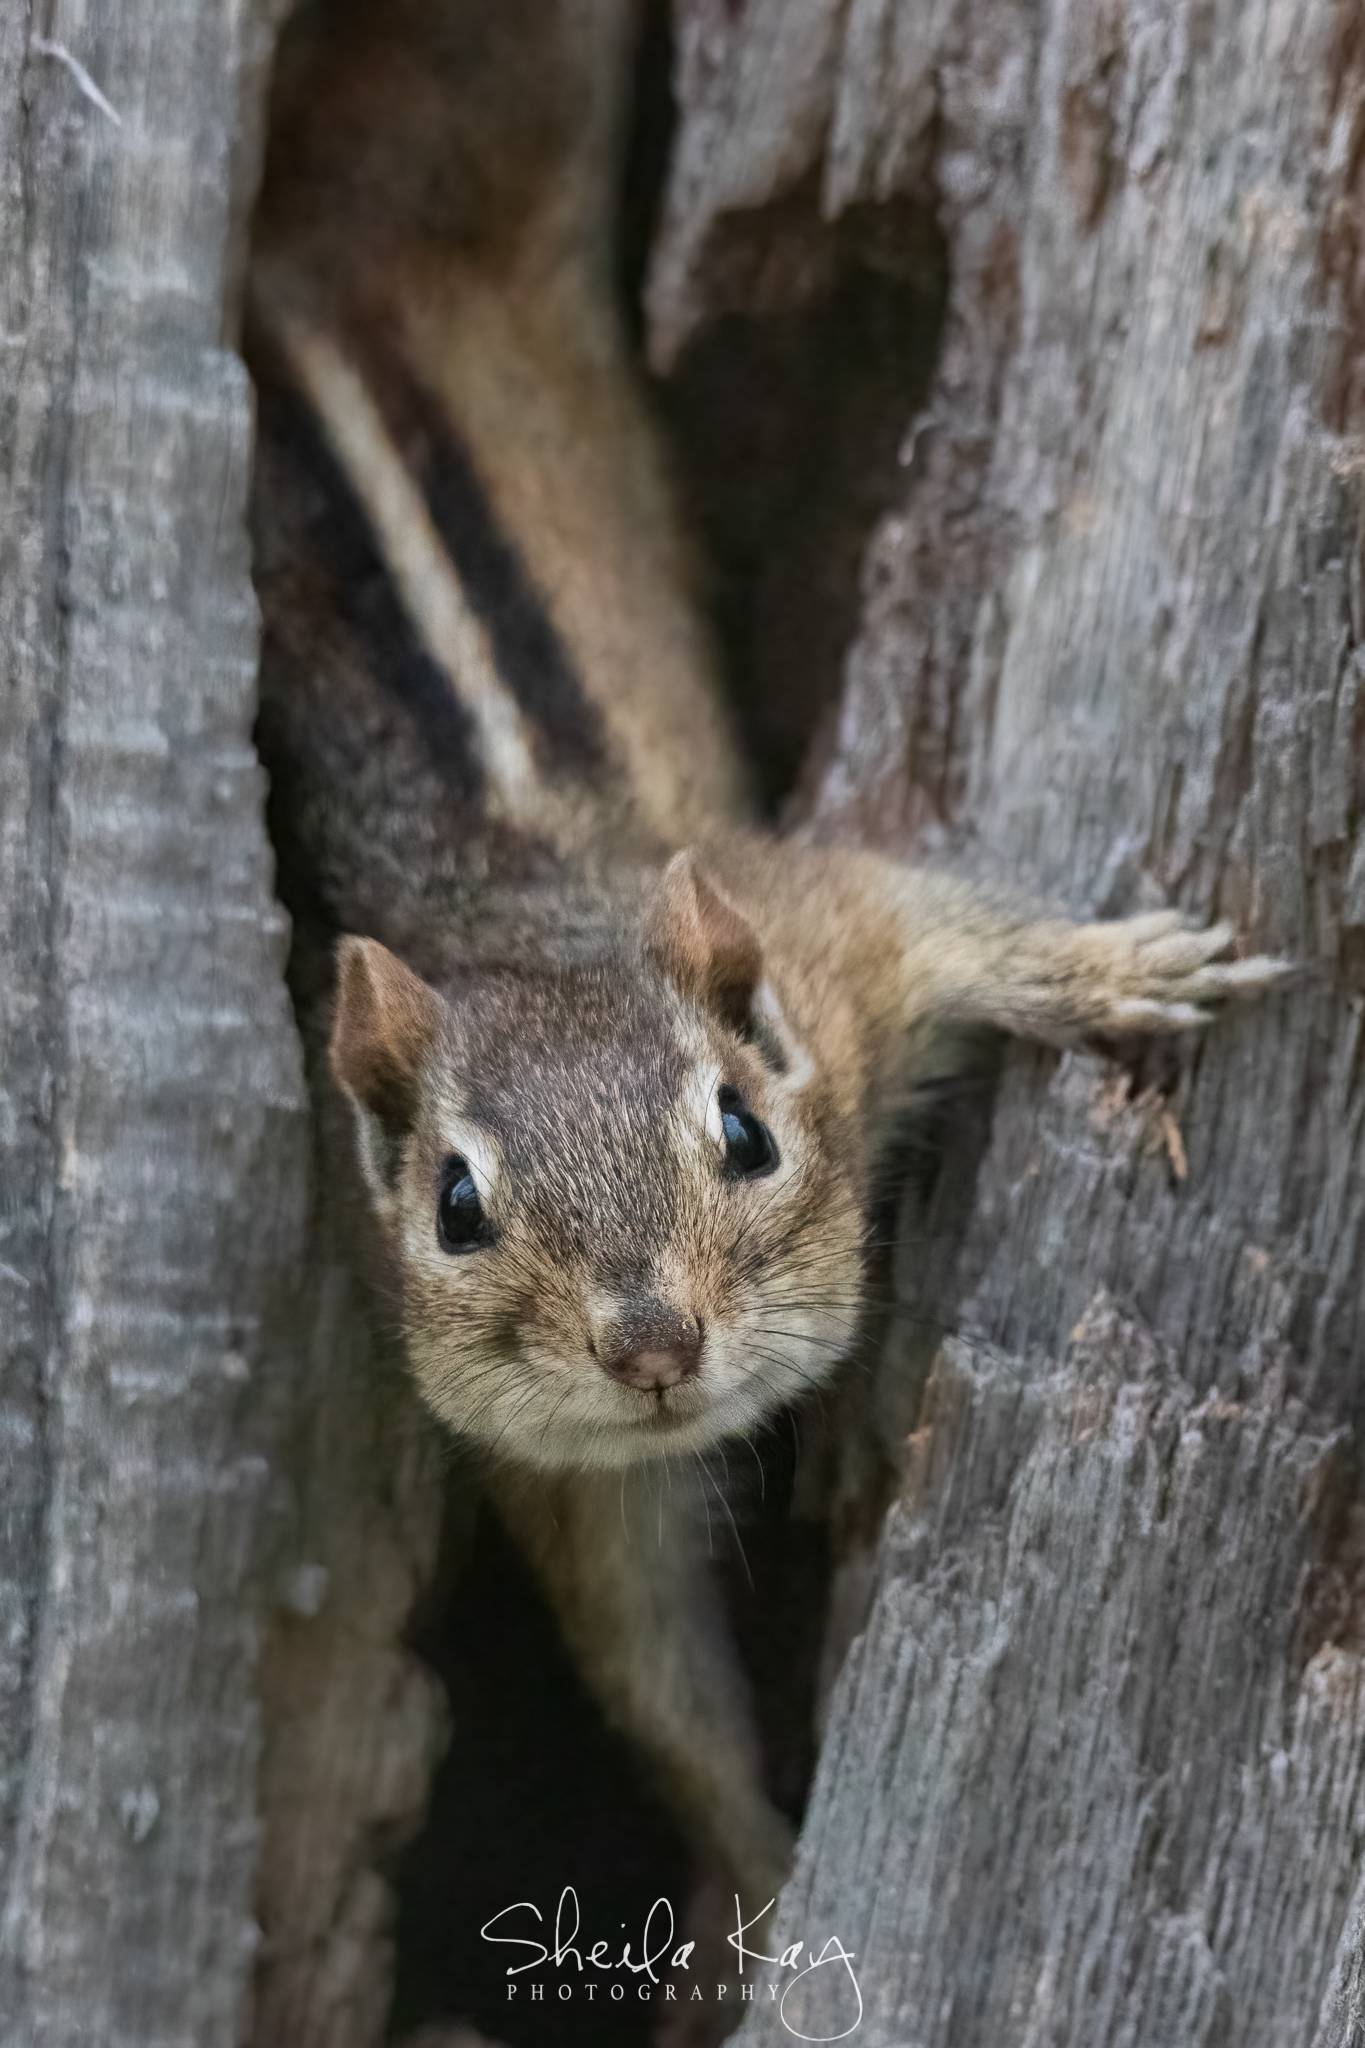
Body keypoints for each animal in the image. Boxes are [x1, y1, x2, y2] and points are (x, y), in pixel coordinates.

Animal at [247, 0, 1290, 1923]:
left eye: (740, 1126)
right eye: (452, 1206)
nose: (653, 1344)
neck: (529, 919)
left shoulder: (821, 934)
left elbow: (949, 917)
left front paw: (1123, 963)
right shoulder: (566, 1478)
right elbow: (652, 1672)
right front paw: (757, 1869)